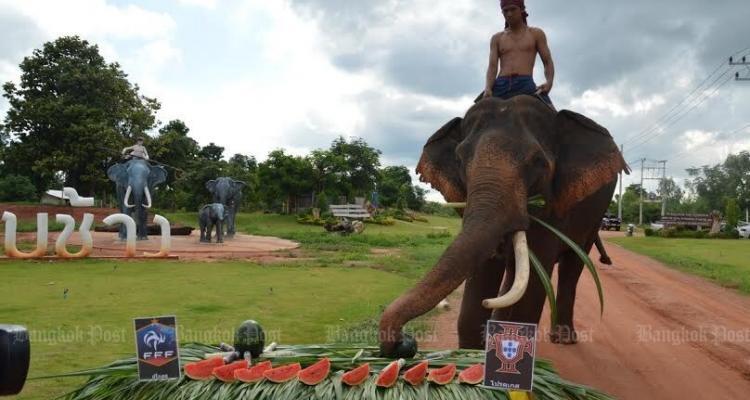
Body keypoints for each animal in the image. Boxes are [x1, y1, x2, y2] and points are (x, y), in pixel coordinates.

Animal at [378, 96, 632, 356]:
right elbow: (480, 279)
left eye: (538, 161)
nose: (403, 341)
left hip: (594, 218)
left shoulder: (555, 205)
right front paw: (476, 352)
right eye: (459, 159)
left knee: (573, 264)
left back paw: (563, 338)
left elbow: (532, 285)